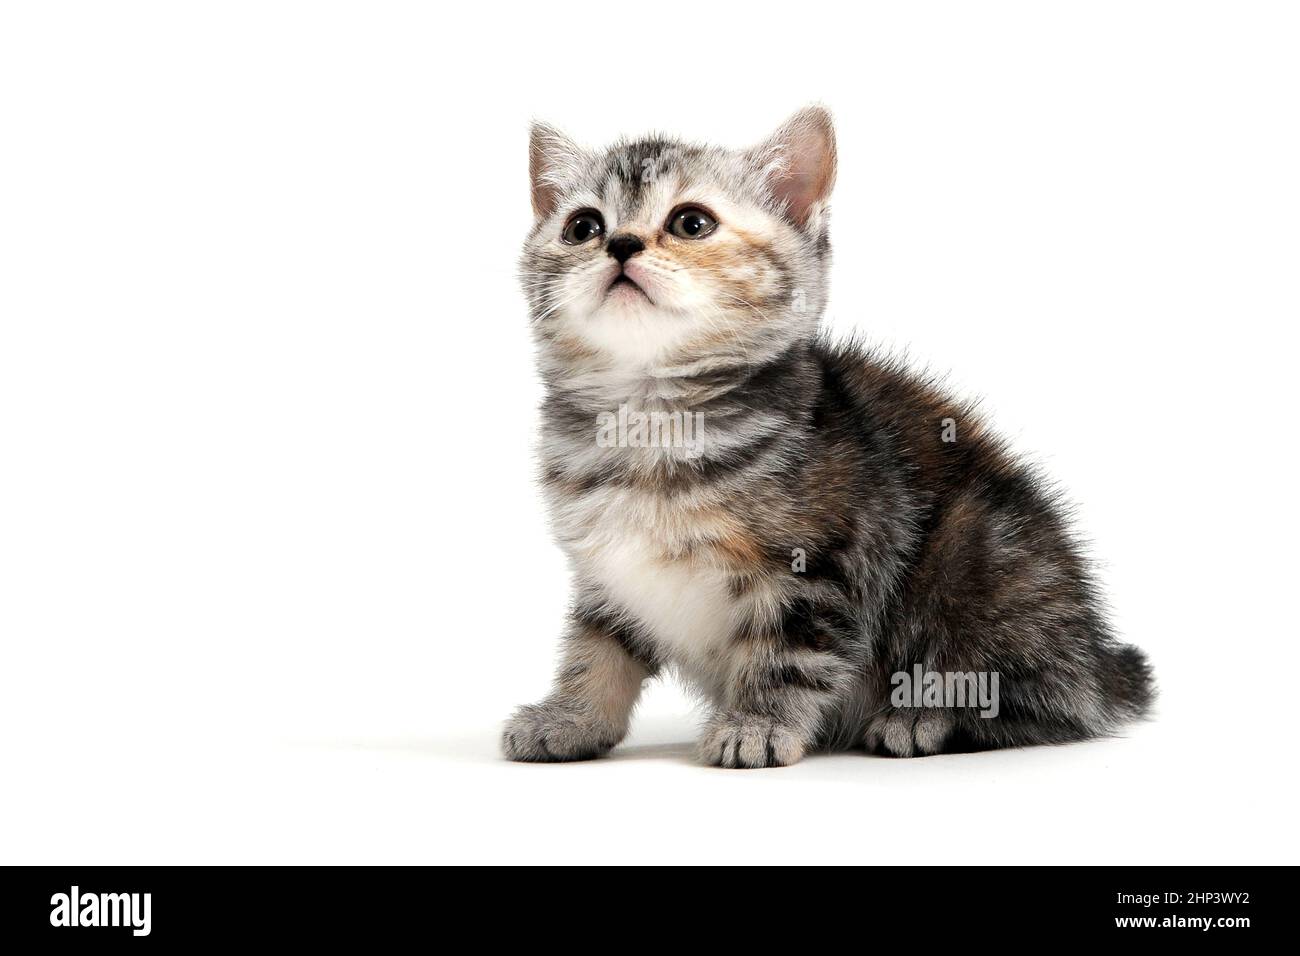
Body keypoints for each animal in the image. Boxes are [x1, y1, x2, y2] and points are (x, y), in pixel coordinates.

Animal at [501, 108, 1154, 770]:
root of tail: (1099, 662)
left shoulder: (820, 564)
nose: (621, 244)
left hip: (979, 553)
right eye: (583, 227)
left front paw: (758, 724)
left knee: (1034, 699)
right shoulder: (606, 575)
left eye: (691, 222)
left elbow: (789, 653)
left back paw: (921, 718)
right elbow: (596, 649)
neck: (649, 419)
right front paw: (571, 718)